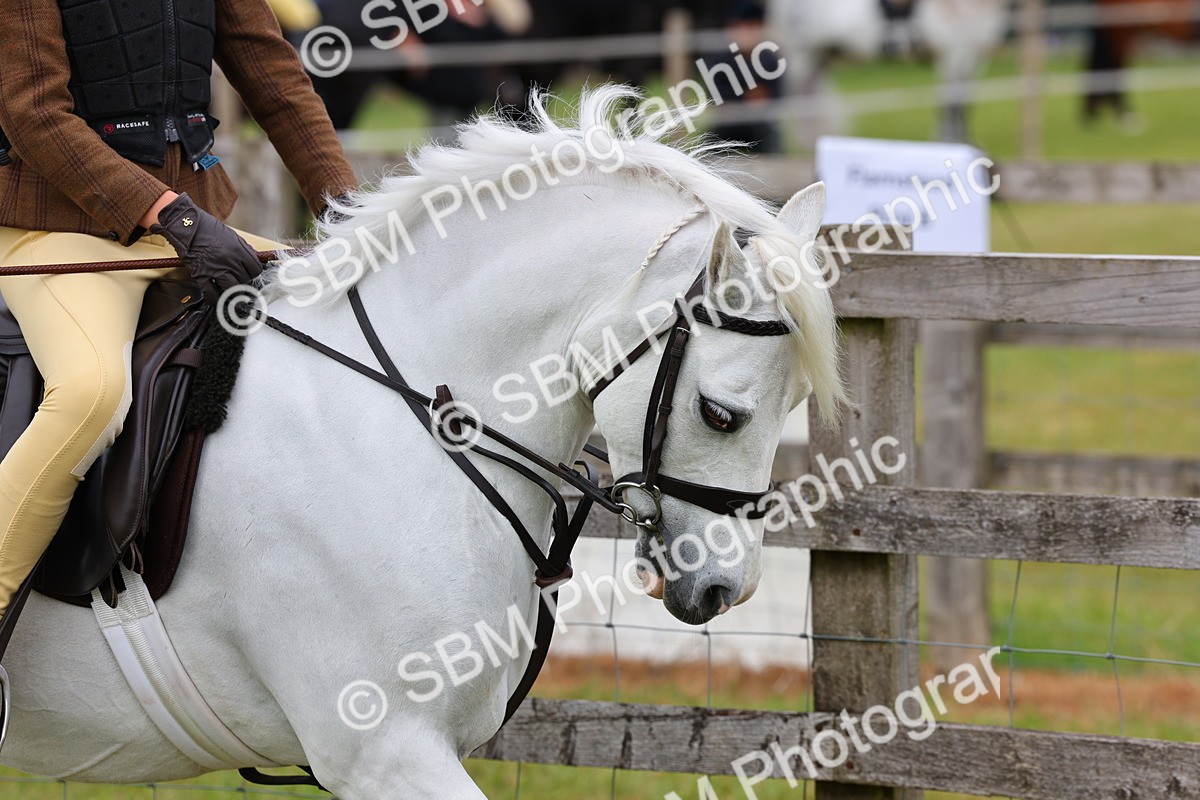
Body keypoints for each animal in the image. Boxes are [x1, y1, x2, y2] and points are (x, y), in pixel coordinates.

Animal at [767, 0, 1009, 143]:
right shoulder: (955, 53)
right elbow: (952, 103)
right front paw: (948, 140)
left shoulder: (972, 56)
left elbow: (963, 103)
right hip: (803, 56)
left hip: (819, 57)